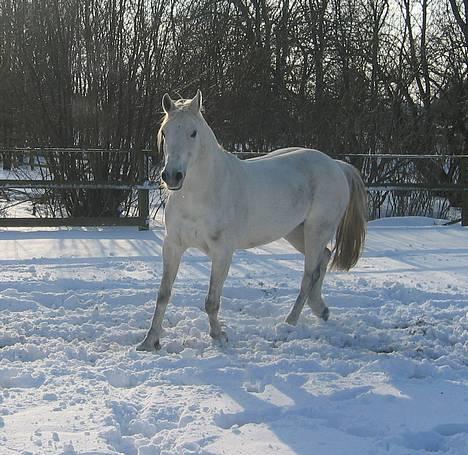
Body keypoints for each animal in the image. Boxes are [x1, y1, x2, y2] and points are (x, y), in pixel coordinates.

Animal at [137, 91, 368, 350]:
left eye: (193, 132)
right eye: (165, 132)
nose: (172, 176)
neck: (202, 194)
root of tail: (337, 165)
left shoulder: (222, 252)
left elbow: (211, 300)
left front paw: (219, 336)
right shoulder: (173, 246)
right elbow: (163, 294)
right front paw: (149, 341)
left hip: (316, 231)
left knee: (309, 275)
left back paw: (290, 322)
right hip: (297, 233)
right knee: (324, 259)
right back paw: (320, 310)